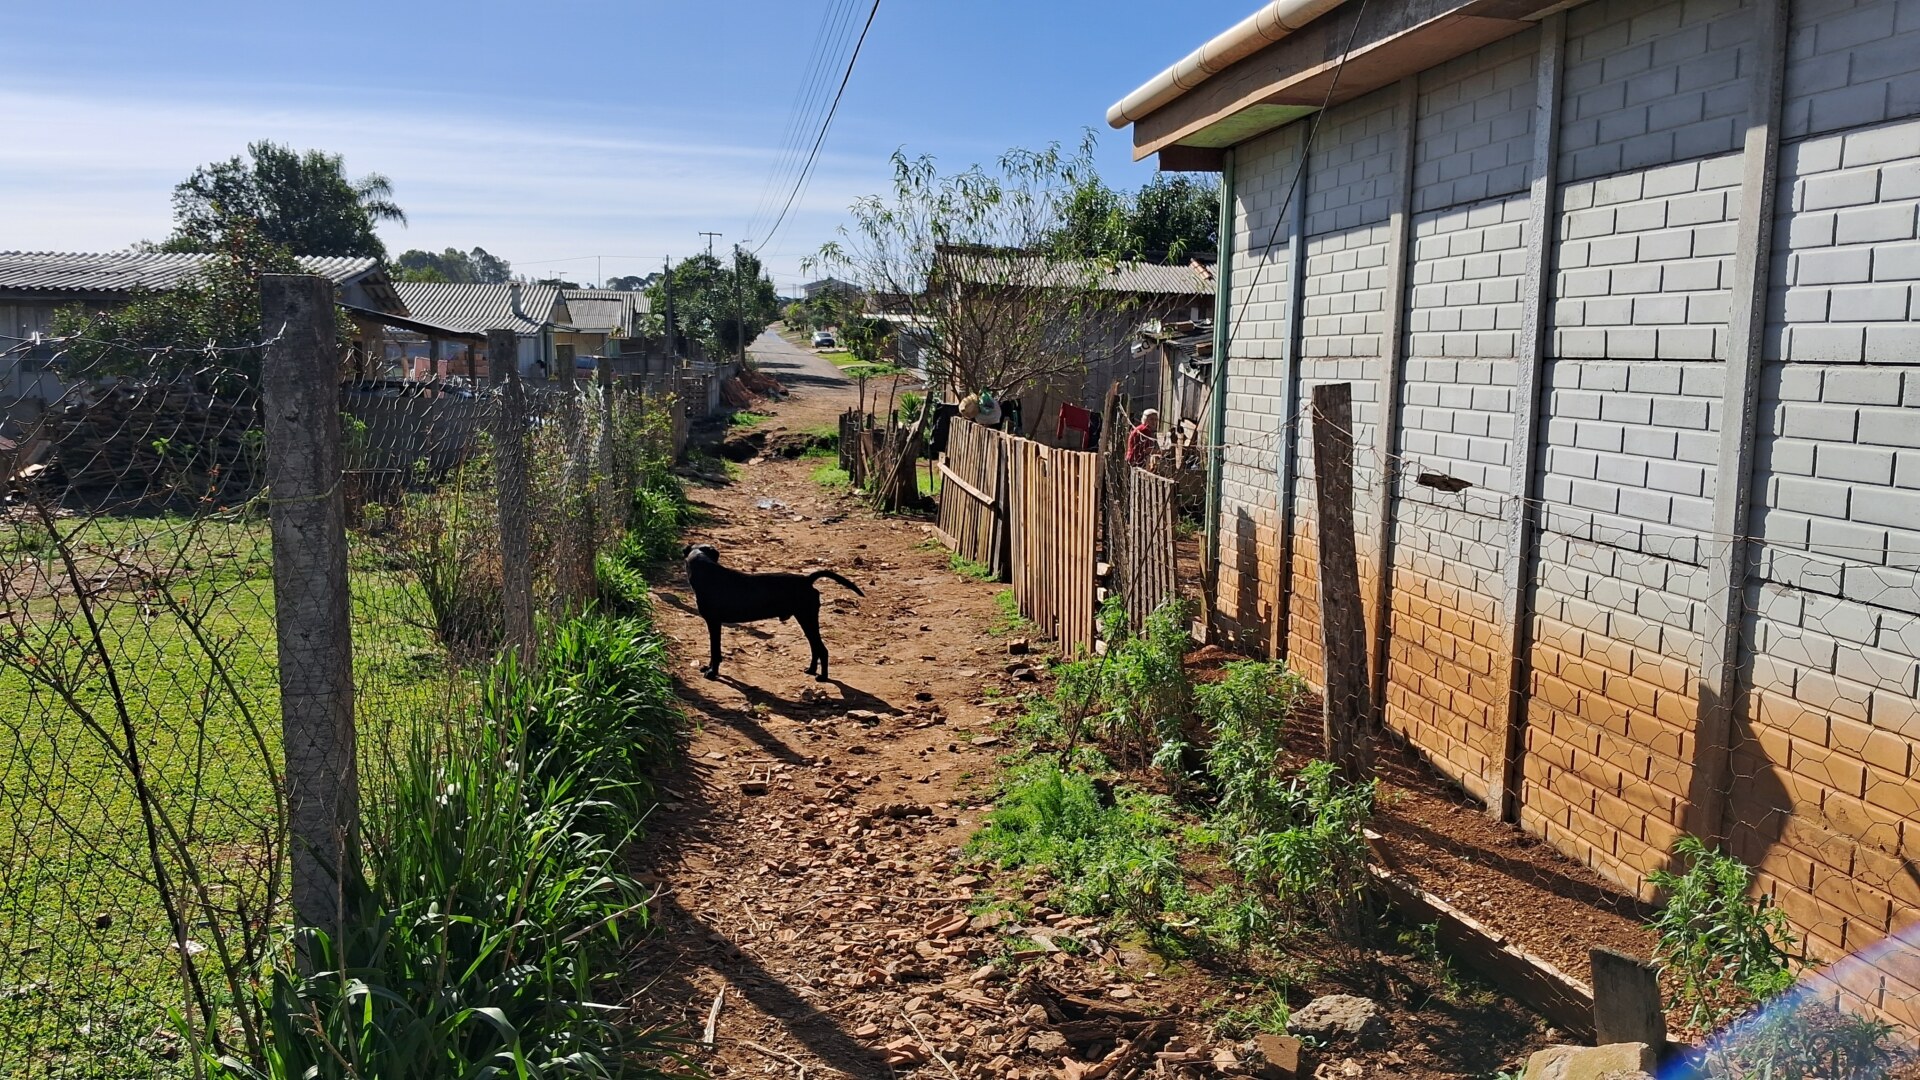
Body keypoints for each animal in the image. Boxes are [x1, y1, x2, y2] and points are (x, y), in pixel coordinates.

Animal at [682, 543, 864, 681]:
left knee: (822, 649)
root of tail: (807, 580)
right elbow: (714, 651)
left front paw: (712, 672)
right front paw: (709, 667)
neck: (708, 573)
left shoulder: (714, 622)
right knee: (815, 648)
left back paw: (823, 677)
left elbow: (715, 651)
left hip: (807, 618)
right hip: (806, 619)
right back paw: (811, 670)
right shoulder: (714, 624)